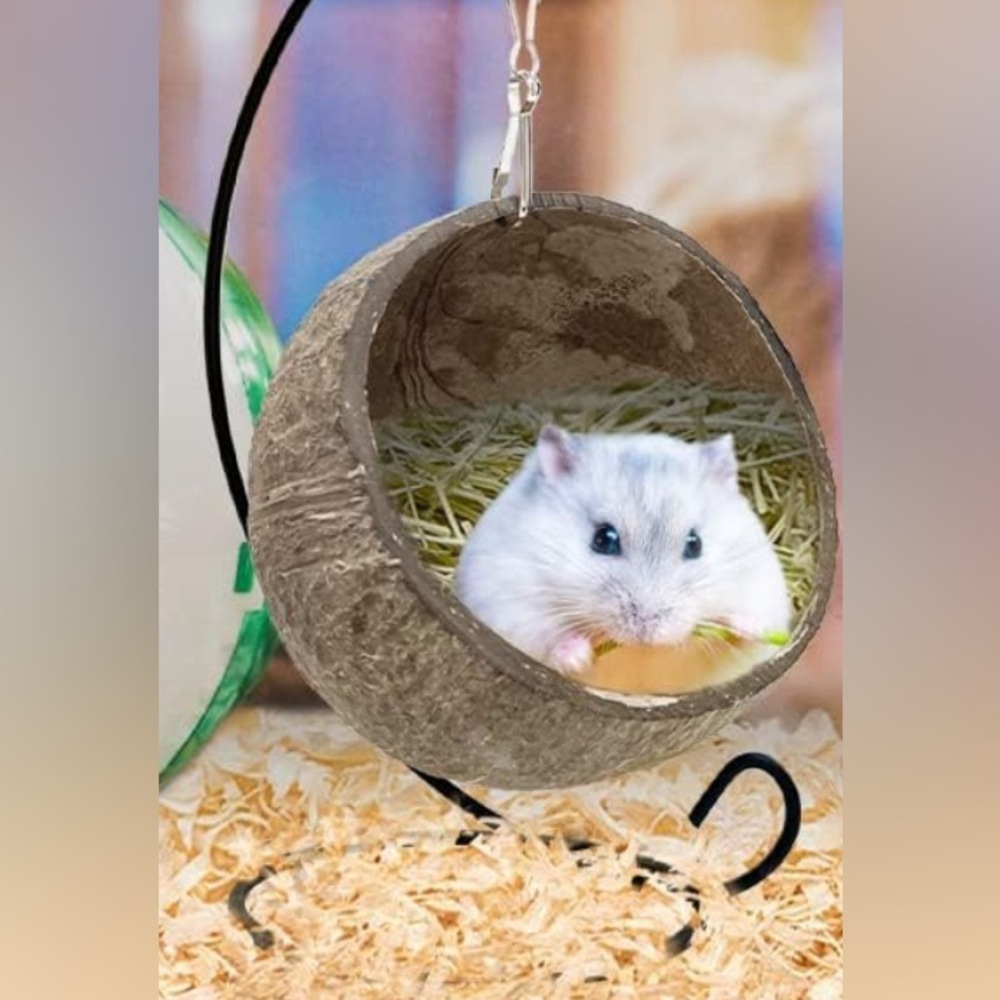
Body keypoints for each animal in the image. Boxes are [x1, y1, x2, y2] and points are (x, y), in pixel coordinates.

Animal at [453, 424, 791, 676]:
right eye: (603, 539)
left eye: (695, 544)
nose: (647, 629)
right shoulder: (508, 600)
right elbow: (543, 636)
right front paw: (578, 658)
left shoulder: (763, 585)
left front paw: (747, 627)